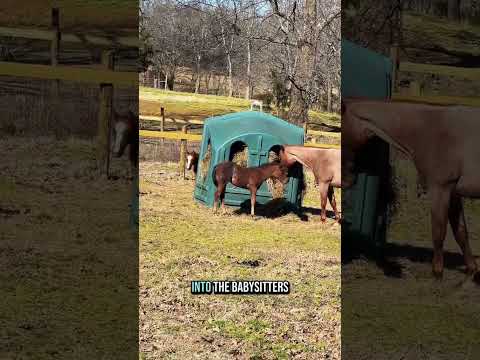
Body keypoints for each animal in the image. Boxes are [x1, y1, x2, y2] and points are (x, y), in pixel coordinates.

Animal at [342, 97, 480, 278]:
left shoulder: (440, 188)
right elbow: (461, 232)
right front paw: (472, 269)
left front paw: (437, 272)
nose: (347, 180)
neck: (430, 128)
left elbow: (439, 231)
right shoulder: (453, 193)